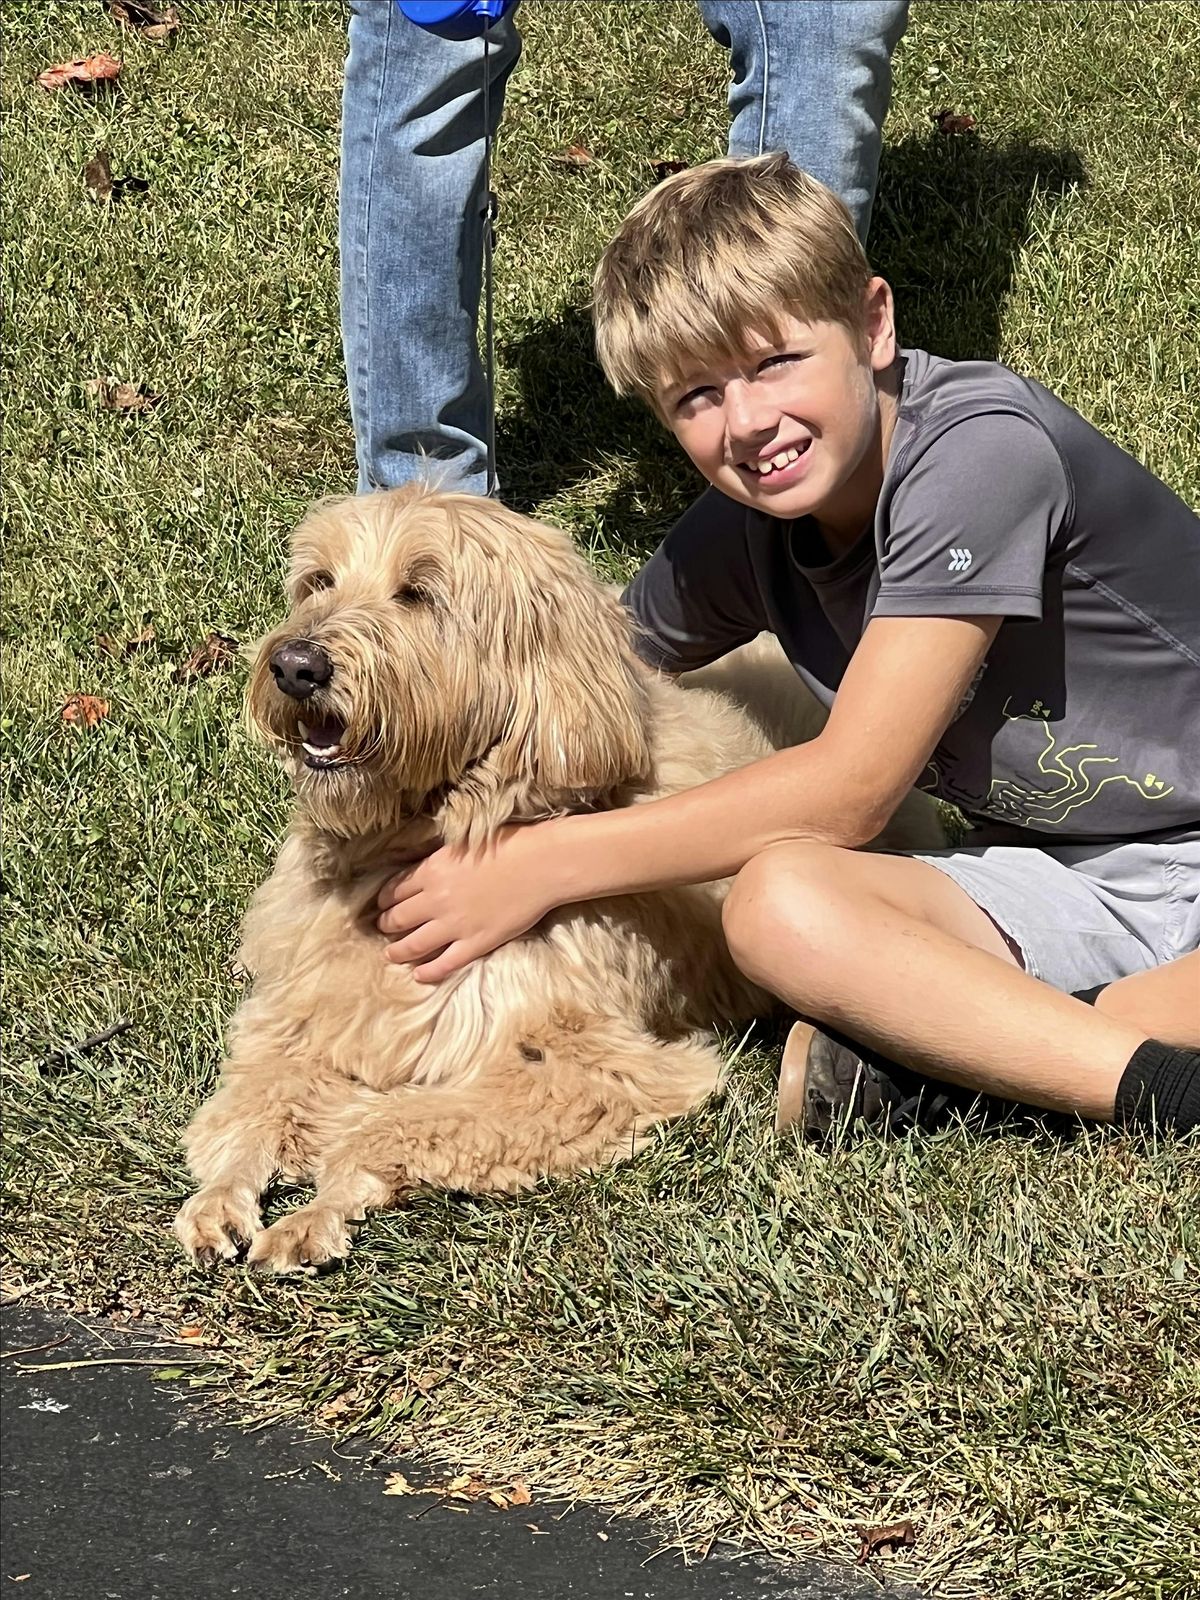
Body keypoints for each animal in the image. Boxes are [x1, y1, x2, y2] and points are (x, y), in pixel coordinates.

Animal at [173, 486, 947, 1273]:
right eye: (318, 581)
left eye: (418, 592)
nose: (295, 665)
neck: (432, 831)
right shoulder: (296, 1015)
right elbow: (249, 1102)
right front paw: (225, 1194)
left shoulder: (599, 1071)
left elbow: (397, 1119)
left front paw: (321, 1191)